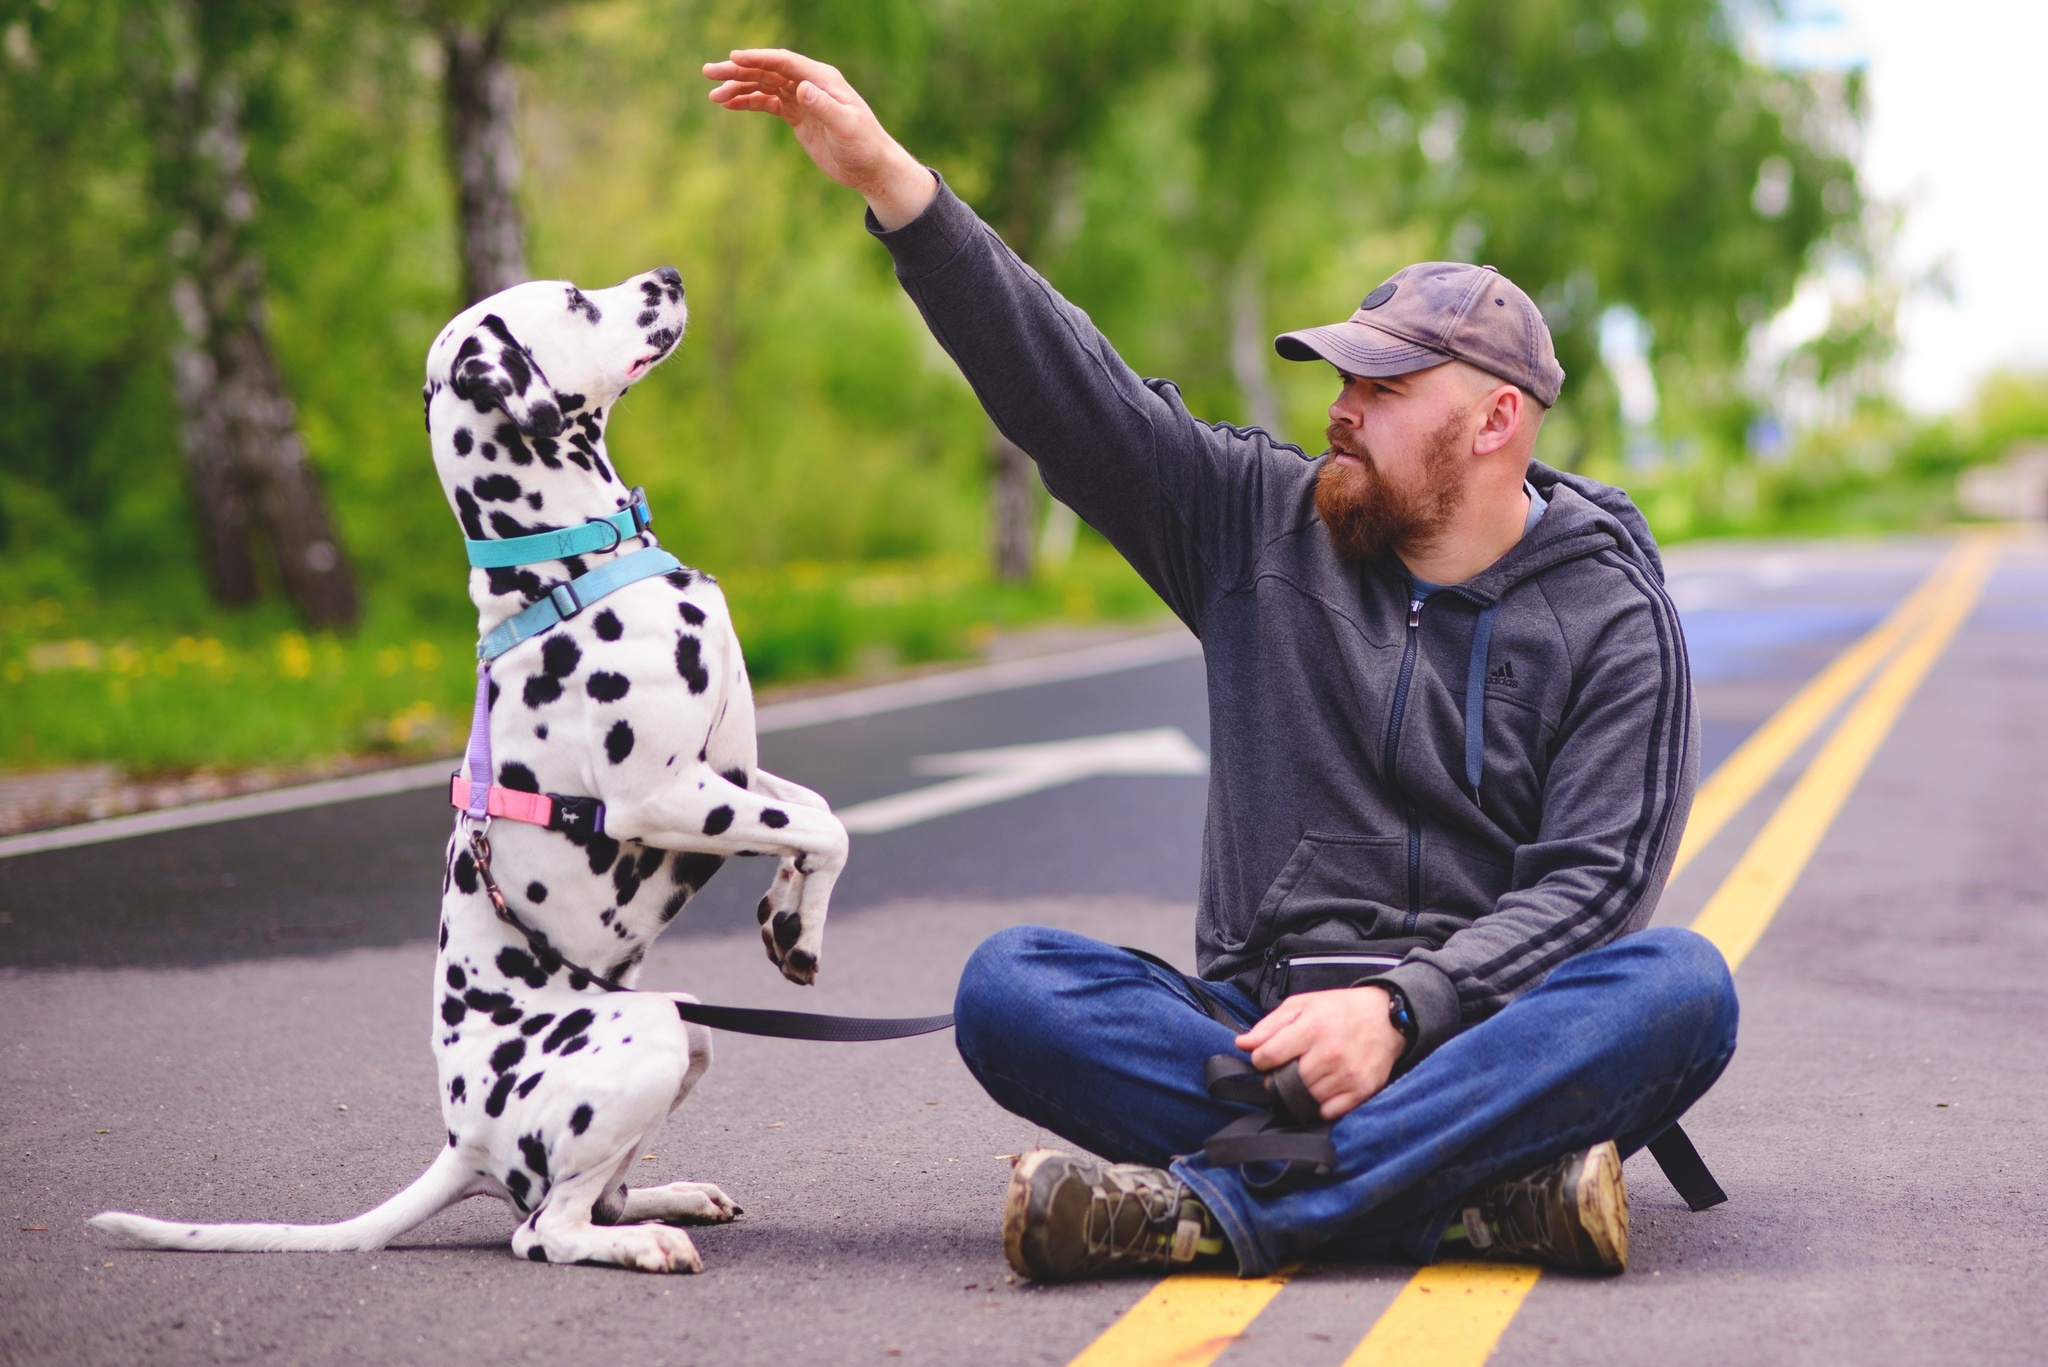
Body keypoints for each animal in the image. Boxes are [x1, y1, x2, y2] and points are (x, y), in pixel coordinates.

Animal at [94, 264, 847, 1270]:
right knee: (547, 1231)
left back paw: (670, 1197)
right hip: (649, 1031)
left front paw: (789, 918)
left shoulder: (729, 771)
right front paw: (797, 922)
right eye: (573, 300)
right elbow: (827, 825)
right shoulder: (660, 795)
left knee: (591, 1198)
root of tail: (467, 1143)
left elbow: (816, 812)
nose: (670, 276)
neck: (571, 565)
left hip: (689, 1025)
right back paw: (646, 1240)